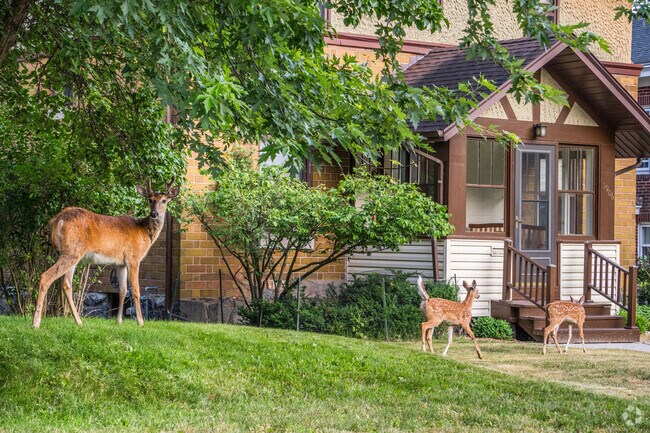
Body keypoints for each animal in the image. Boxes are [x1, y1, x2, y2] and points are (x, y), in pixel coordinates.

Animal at [32, 178, 180, 329]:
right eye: (150, 200)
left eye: (164, 200)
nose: (154, 214)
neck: (144, 232)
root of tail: (57, 220)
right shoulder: (133, 257)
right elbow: (136, 290)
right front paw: (140, 322)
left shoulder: (120, 263)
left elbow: (123, 290)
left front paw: (119, 321)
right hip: (72, 251)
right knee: (46, 276)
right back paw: (36, 323)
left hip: (69, 252)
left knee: (66, 284)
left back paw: (79, 322)